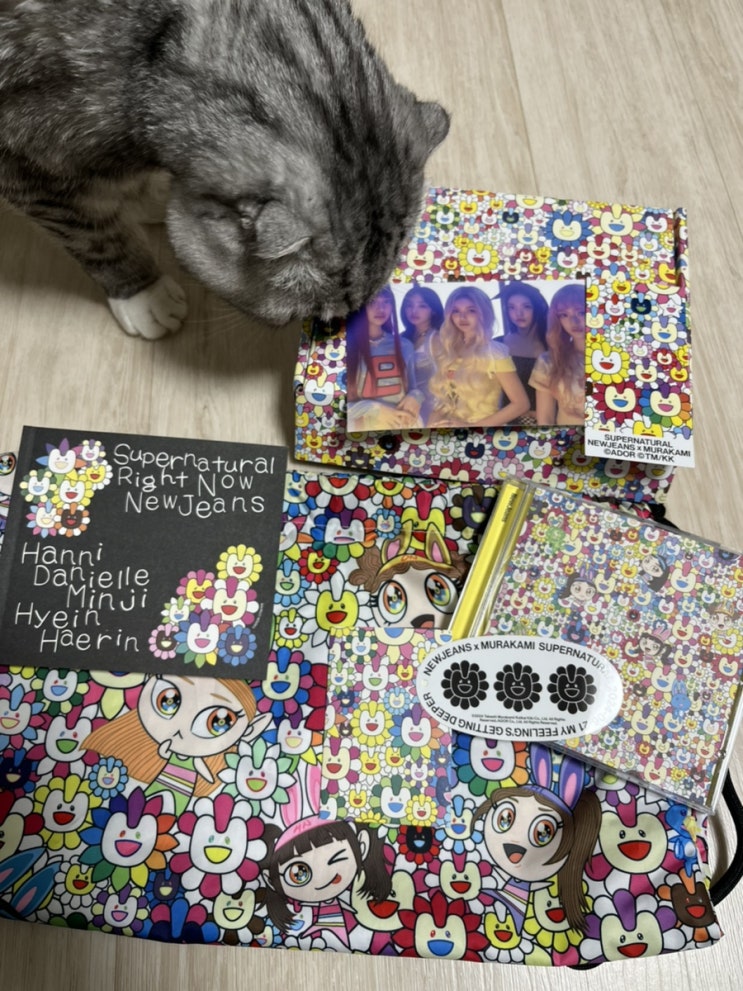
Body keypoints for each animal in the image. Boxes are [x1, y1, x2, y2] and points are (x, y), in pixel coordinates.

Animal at [0, 0, 449, 338]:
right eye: (313, 316)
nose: (333, 331)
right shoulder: (30, 170)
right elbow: (100, 240)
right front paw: (144, 293)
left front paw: (146, 198)